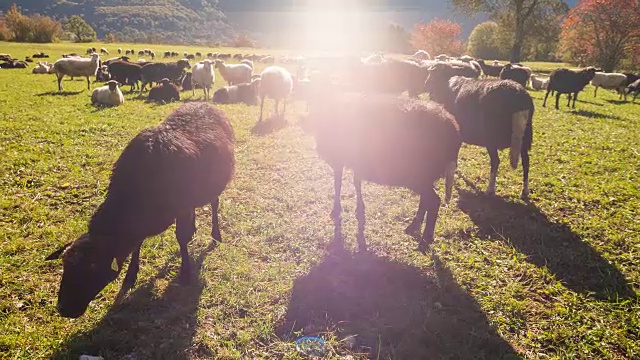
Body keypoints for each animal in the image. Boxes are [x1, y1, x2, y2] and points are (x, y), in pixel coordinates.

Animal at [45, 102, 235, 318]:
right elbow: (138, 245)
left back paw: (216, 235)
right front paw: (130, 275)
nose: (64, 309)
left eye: (92, 267)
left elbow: (181, 238)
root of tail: (206, 104)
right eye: (64, 265)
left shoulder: (180, 208)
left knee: (214, 204)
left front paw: (185, 274)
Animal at [304, 91, 460, 252]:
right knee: (426, 200)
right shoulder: (357, 162)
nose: (305, 123)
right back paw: (413, 228)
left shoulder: (338, 159)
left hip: (418, 175)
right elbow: (356, 183)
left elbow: (337, 185)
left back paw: (425, 240)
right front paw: (359, 210)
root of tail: (453, 129)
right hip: (425, 176)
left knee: (434, 201)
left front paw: (336, 211)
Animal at [424, 63, 536, 201]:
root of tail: (519, 99)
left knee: (495, 161)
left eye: (432, 74)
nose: (425, 85)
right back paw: (524, 191)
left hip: (491, 137)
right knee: (526, 162)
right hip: (525, 138)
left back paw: (490, 189)